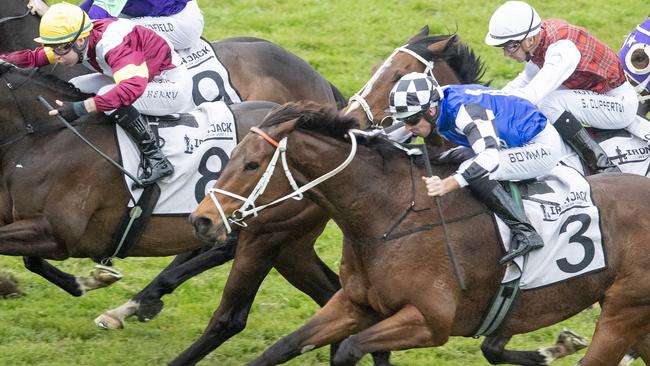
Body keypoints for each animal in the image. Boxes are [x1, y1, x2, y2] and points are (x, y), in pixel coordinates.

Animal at [191, 103, 650, 366]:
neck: (387, 218)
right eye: (231, 155)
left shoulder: (430, 321)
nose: (202, 220)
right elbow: (284, 346)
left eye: (251, 165)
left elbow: (351, 349)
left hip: (622, 312)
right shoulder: (354, 303)